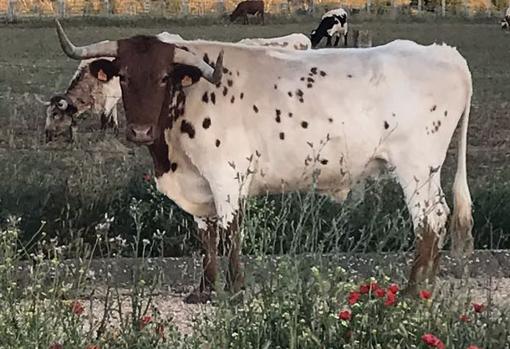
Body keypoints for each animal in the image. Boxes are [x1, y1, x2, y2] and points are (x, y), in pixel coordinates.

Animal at [40, 32, 183, 141]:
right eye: (48, 113)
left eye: (55, 114)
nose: (46, 135)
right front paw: (114, 130)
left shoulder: (110, 97)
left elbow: (104, 117)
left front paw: (101, 137)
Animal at [55, 20, 474, 304]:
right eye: (123, 76)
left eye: (163, 77)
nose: (140, 131)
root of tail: (443, 51)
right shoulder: (200, 185)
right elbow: (206, 236)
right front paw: (204, 290)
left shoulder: (228, 178)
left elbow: (230, 234)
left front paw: (236, 291)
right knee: (438, 216)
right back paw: (427, 284)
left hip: (416, 168)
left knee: (430, 218)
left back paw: (413, 288)